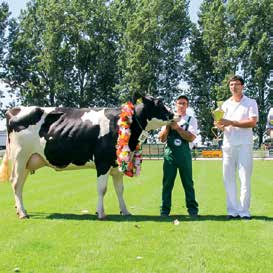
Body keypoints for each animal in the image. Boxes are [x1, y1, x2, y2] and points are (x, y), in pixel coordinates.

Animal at [0, 94, 174, 219]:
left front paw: (125, 211)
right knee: (16, 183)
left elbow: (120, 190)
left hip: (28, 161)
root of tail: (13, 110)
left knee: (20, 185)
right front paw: (101, 213)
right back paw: (23, 213)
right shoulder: (103, 162)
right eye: (159, 104)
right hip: (20, 157)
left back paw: (20, 210)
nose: (173, 114)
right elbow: (102, 189)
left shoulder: (116, 165)